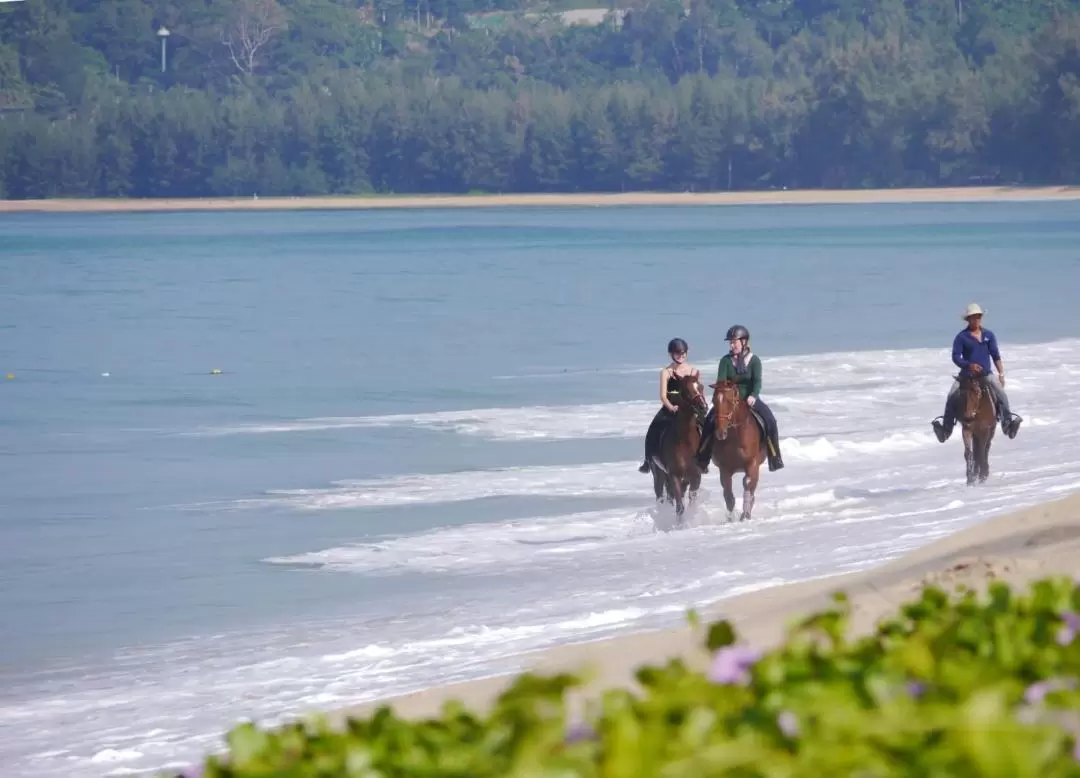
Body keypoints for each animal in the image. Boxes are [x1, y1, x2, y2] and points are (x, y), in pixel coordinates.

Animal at [648, 373, 708, 525]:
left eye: (701, 386)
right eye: (686, 389)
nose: (703, 407)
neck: (685, 443)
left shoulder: (695, 476)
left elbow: (692, 501)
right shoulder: (674, 475)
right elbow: (680, 507)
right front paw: (680, 525)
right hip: (659, 475)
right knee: (661, 497)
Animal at [708, 378, 768, 522]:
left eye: (730, 401)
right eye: (714, 400)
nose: (720, 433)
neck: (735, 438)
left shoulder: (752, 464)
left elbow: (748, 484)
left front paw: (744, 514)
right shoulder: (724, 468)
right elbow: (728, 493)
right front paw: (730, 518)